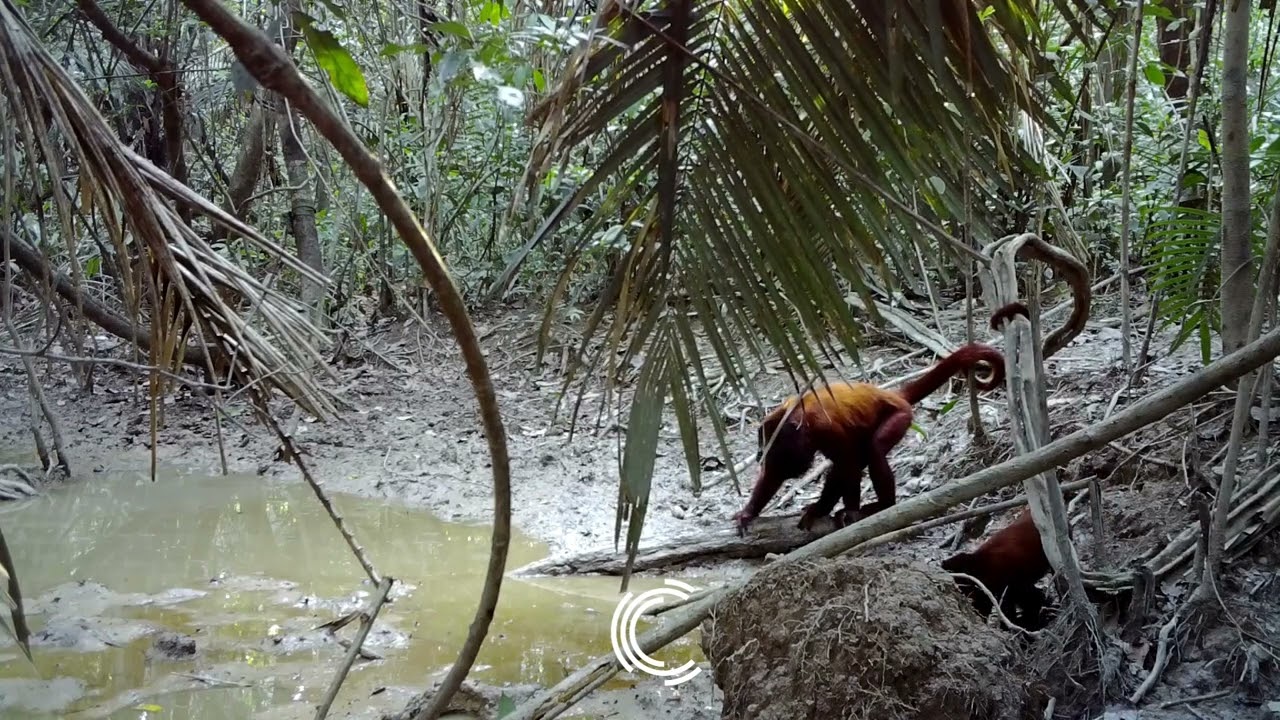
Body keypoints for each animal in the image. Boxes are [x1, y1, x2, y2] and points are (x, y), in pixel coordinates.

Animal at [732, 341, 1008, 536]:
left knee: (872, 451)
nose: (759, 455)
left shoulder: (825, 429)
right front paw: (748, 512)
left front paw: (843, 511)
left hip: (900, 415)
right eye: (762, 449)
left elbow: (847, 463)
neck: (798, 420)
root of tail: (892, 394)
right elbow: (775, 476)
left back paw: (883, 505)